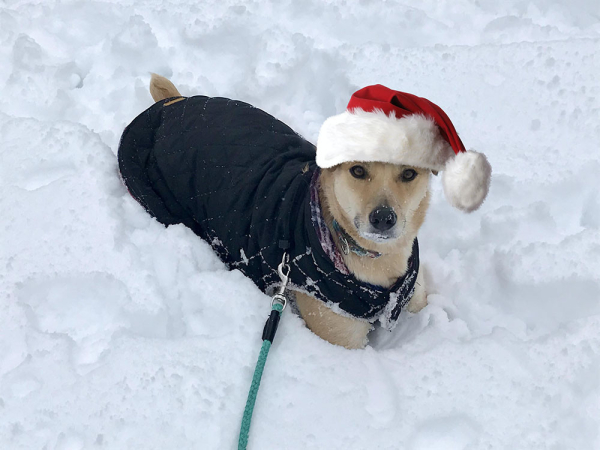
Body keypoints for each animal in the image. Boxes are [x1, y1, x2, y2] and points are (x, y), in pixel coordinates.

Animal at [118, 74, 492, 348]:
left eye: (409, 174)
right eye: (358, 170)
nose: (384, 218)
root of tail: (169, 104)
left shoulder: (415, 299)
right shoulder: (342, 336)